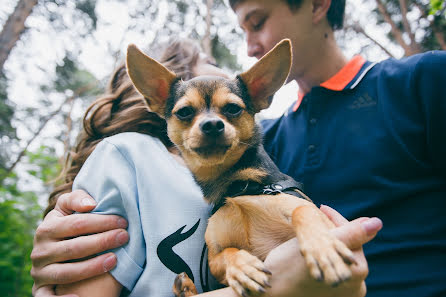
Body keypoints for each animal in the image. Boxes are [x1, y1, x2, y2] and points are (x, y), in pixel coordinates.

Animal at [126, 40, 356, 296]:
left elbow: (303, 211)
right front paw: (243, 266)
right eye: (184, 112)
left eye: (233, 108)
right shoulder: (214, 259)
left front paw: (323, 246)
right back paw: (184, 287)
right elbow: (227, 253)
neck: (238, 186)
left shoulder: (318, 214)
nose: (212, 124)